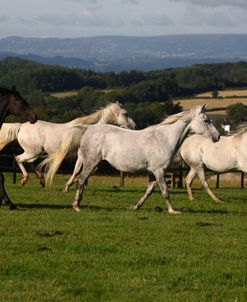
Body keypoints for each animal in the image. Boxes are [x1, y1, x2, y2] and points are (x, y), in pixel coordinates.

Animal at [0, 102, 135, 185]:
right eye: (125, 114)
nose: (133, 126)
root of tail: (21, 126)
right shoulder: (82, 155)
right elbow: (80, 170)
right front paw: (71, 183)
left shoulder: (81, 155)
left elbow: (83, 169)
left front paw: (73, 182)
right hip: (32, 151)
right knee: (19, 159)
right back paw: (25, 179)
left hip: (35, 153)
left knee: (29, 163)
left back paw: (41, 180)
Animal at [41, 105, 220, 214]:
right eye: (206, 120)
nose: (217, 137)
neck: (164, 138)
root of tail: (88, 128)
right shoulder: (159, 171)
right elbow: (165, 191)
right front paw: (173, 210)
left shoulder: (153, 172)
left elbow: (149, 191)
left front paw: (134, 207)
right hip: (91, 164)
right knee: (80, 180)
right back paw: (76, 206)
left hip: (94, 165)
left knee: (81, 180)